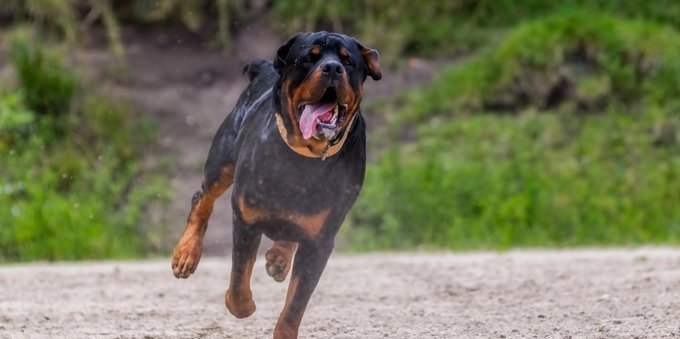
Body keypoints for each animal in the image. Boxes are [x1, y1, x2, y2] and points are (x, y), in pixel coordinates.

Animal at [170, 31, 380, 338]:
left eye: (348, 60)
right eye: (308, 57)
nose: (332, 68)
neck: (304, 157)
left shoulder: (319, 242)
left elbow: (295, 305)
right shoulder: (246, 219)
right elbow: (238, 282)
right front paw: (242, 304)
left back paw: (279, 257)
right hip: (222, 159)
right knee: (202, 198)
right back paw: (186, 253)